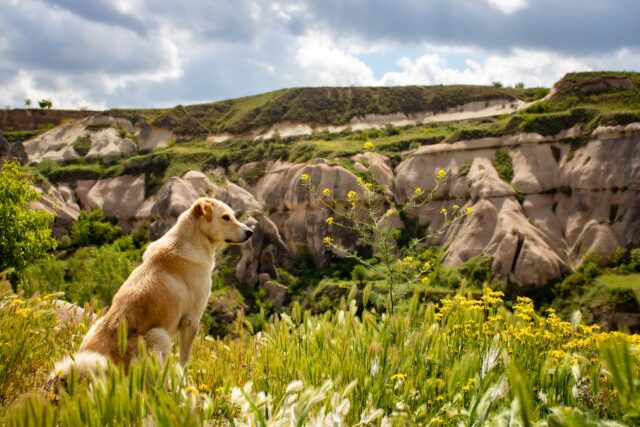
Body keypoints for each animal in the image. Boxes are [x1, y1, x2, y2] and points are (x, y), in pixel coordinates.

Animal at [52, 197, 252, 378]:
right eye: (225, 217)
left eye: (233, 215)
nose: (250, 232)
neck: (192, 239)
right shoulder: (192, 320)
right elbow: (185, 360)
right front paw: (185, 381)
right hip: (158, 335)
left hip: (96, 325)